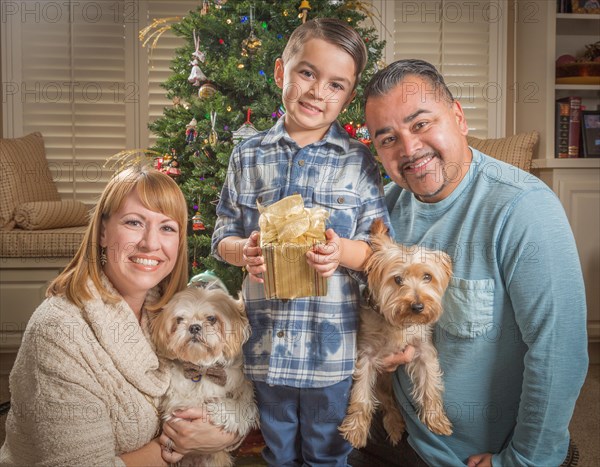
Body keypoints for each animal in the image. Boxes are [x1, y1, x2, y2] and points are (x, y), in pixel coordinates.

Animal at [150, 288, 258, 466]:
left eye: (212, 319)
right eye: (180, 319)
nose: (194, 327)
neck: (203, 368)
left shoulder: (245, 390)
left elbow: (240, 406)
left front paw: (218, 412)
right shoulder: (176, 396)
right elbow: (183, 402)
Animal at [340, 219, 452, 450]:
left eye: (427, 276)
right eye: (397, 279)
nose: (418, 306)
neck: (399, 324)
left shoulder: (423, 350)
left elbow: (430, 384)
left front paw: (436, 418)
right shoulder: (366, 356)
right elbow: (361, 395)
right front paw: (356, 430)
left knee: (390, 402)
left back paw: (395, 424)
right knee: (386, 401)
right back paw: (393, 424)